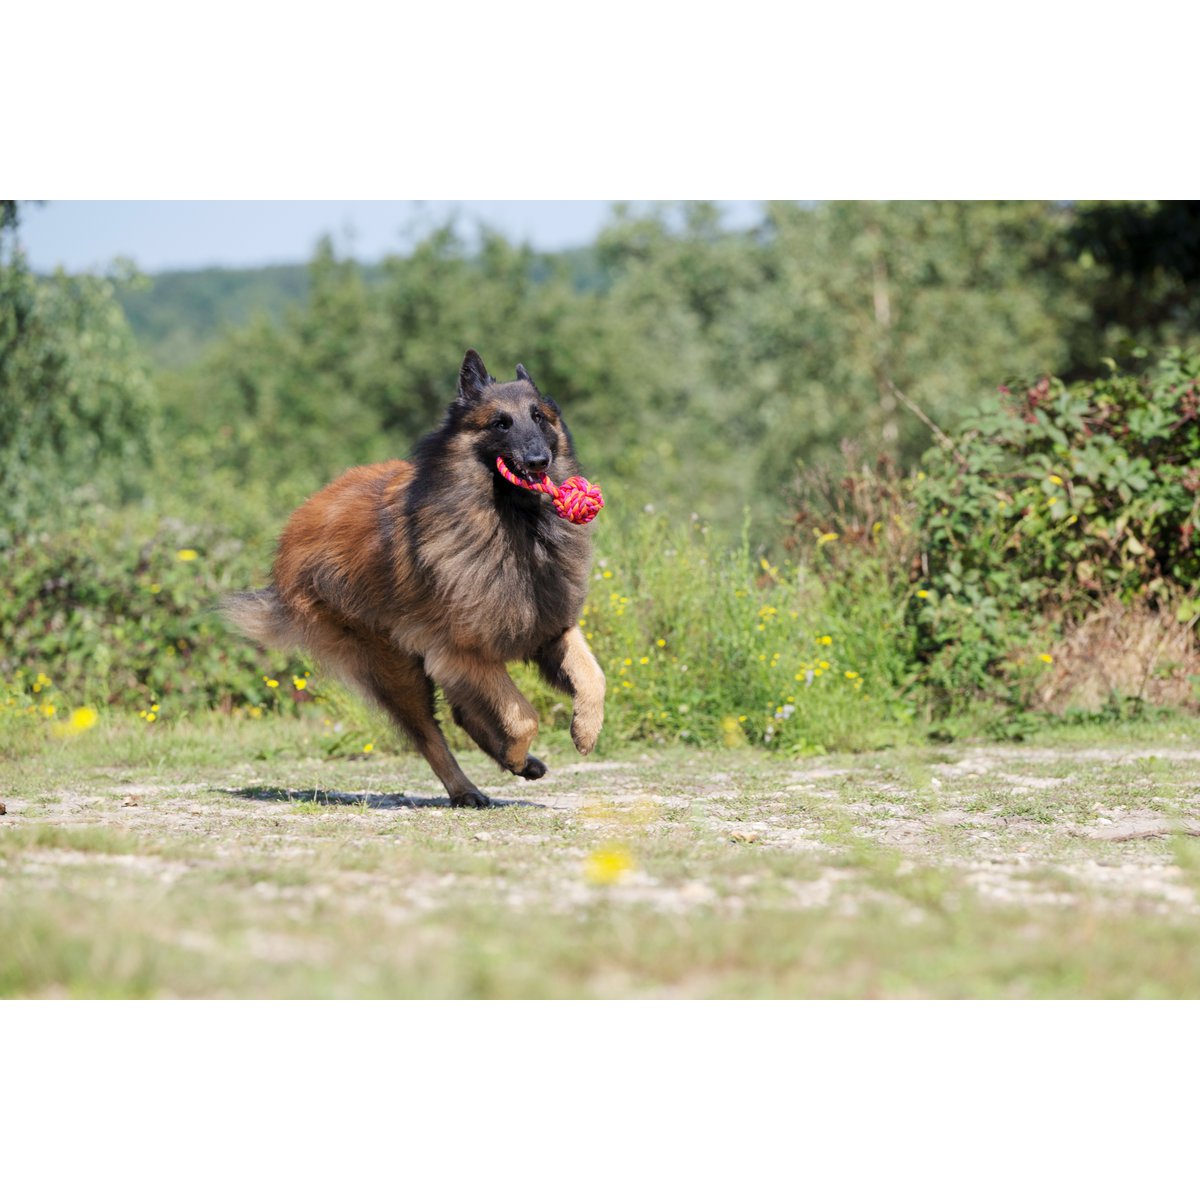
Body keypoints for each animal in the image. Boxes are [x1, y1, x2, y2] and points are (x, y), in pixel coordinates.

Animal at [222, 350, 604, 811]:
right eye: (500, 423)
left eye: (538, 417)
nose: (537, 461)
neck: (511, 523)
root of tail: (294, 529)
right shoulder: (462, 654)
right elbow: (523, 716)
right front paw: (515, 753)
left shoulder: (550, 628)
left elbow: (593, 677)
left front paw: (584, 731)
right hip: (396, 667)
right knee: (430, 735)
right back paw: (467, 788)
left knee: (462, 714)